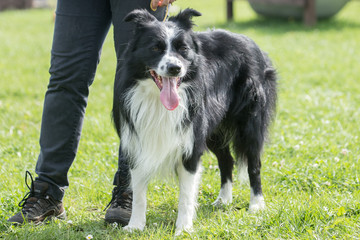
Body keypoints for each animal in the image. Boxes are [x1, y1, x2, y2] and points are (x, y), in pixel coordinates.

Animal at [114, 8, 278, 234]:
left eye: (183, 49)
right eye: (155, 47)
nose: (175, 68)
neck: (157, 100)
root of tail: (250, 41)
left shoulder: (190, 143)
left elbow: (186, 195)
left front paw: (183, 229)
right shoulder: (137, 140)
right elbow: (139, 191)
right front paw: (135, 226)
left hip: (249, 121)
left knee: (254, 162)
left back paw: (256, 204)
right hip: (214, 130)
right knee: (226, 160)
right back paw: (223, 200)